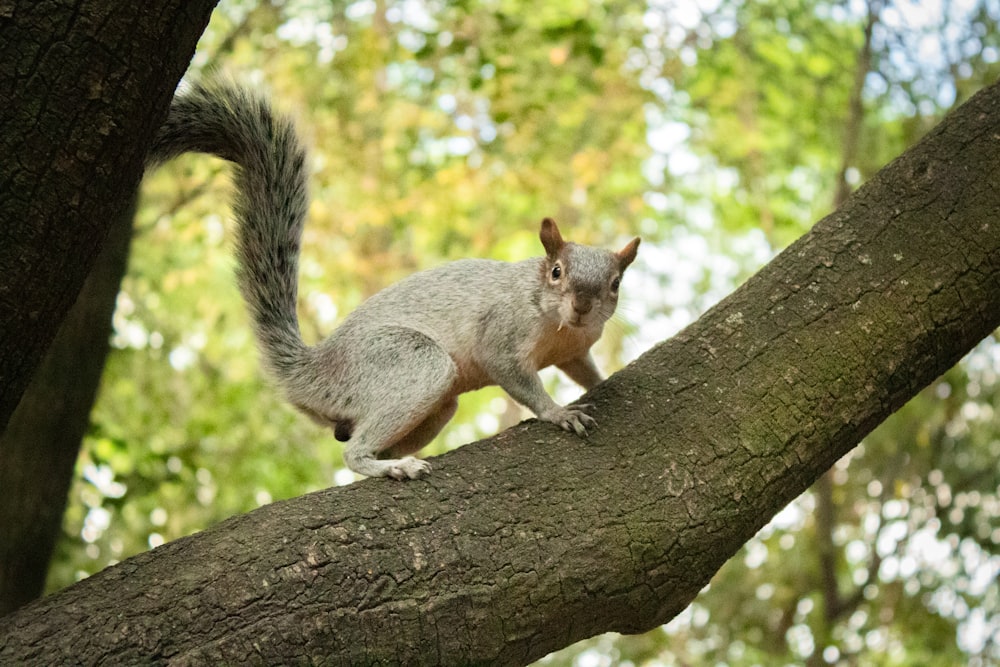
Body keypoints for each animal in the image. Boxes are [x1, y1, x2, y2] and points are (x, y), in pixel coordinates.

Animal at [144, 79, 636, 480]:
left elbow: (583, 368)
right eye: (556, 272)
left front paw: (597, 381)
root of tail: (312, 371)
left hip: (433, 405)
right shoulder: (502, 330)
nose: (582, 306)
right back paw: (392, 468)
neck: (554, 323)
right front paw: (557, 412)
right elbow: (515, 376)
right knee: (356, 451)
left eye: (615, 283)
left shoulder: (575, 348)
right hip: (410, 363)